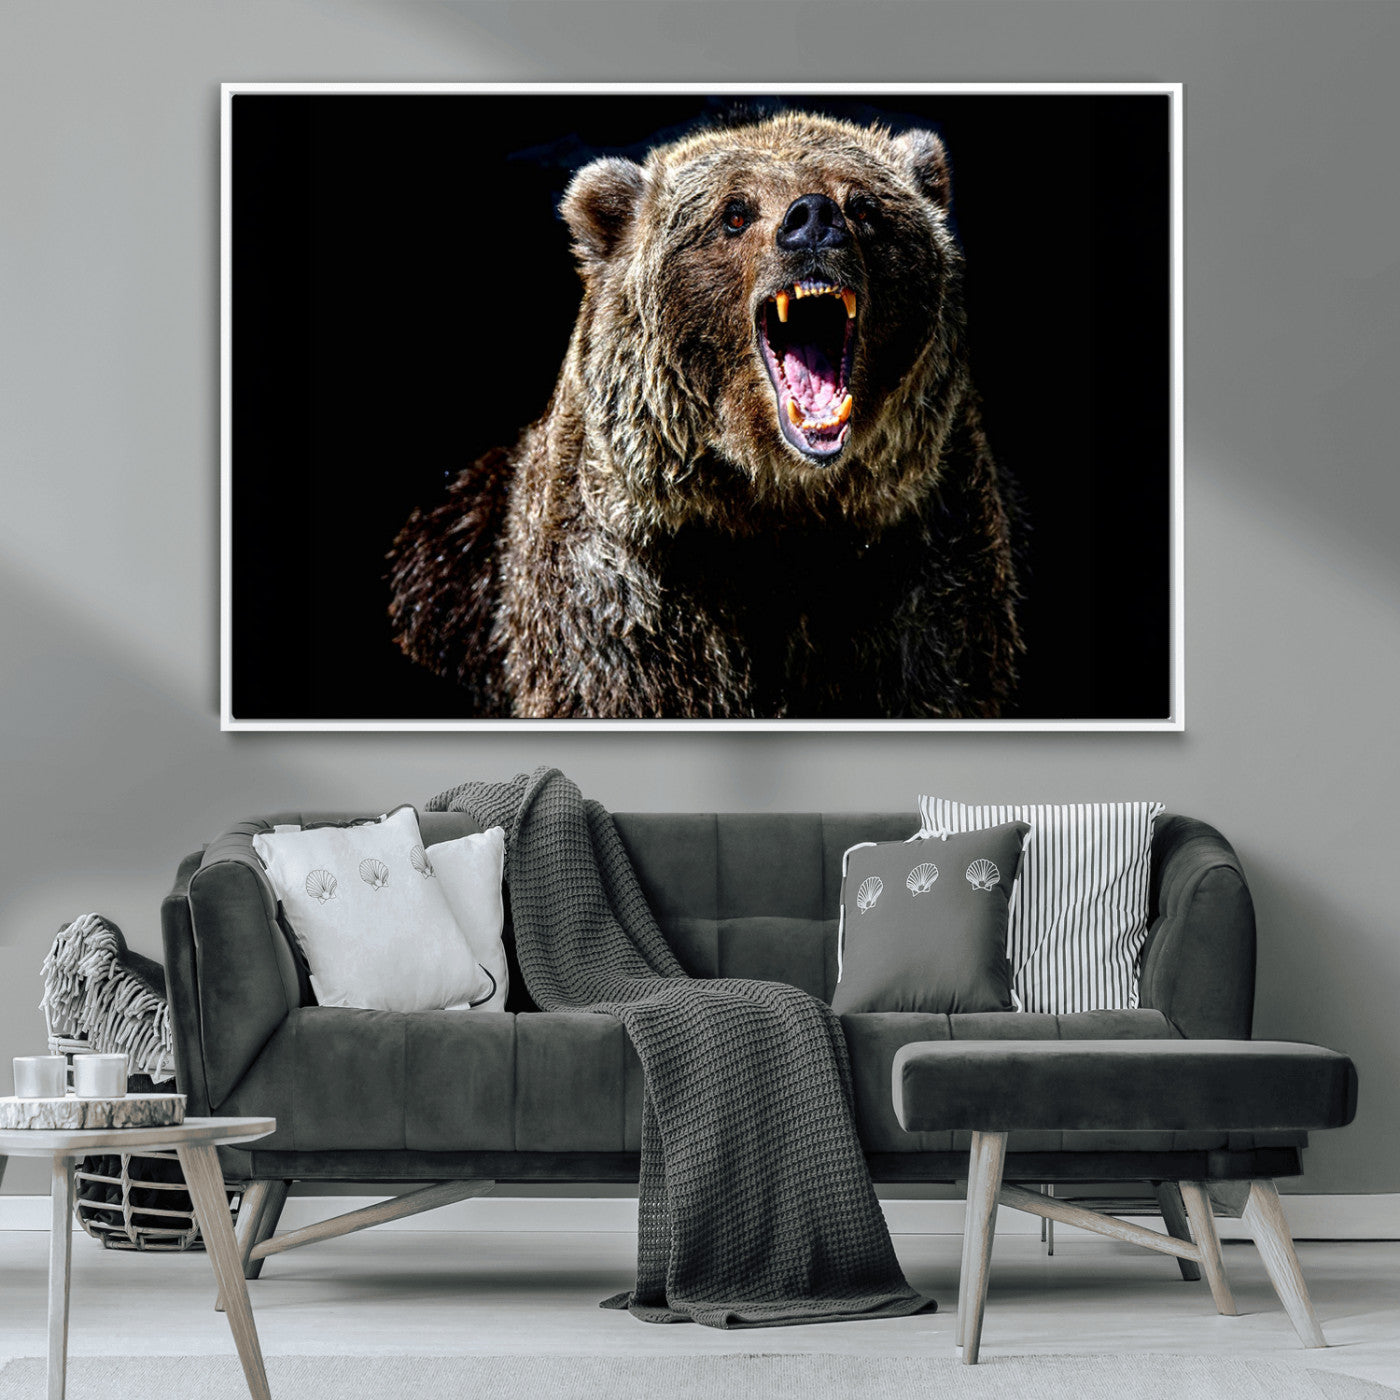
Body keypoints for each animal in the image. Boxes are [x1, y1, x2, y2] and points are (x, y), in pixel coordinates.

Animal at [387, 111, 1023, 719]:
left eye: (864, 205)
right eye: (734, 213)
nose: (813, 219)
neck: (776, 508)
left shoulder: (918, 571)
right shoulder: (626, 597)